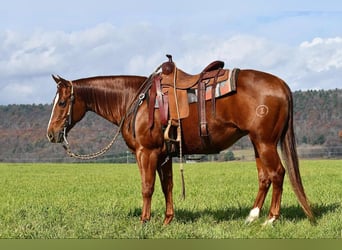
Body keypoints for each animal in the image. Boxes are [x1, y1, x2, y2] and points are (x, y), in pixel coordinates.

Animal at [46, 58, 314, 225]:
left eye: (62, 102)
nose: (51, 133)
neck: (135, 100)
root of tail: (281, 84)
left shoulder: (146, 152)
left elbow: (147, 187)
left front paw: (144, 221)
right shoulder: (164, 154)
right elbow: (168, 186)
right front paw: (167, 220)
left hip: (265, 142)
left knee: (278, 174)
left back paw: (270, 219)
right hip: (257, 143)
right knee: (264, 177)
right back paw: (252, 216)